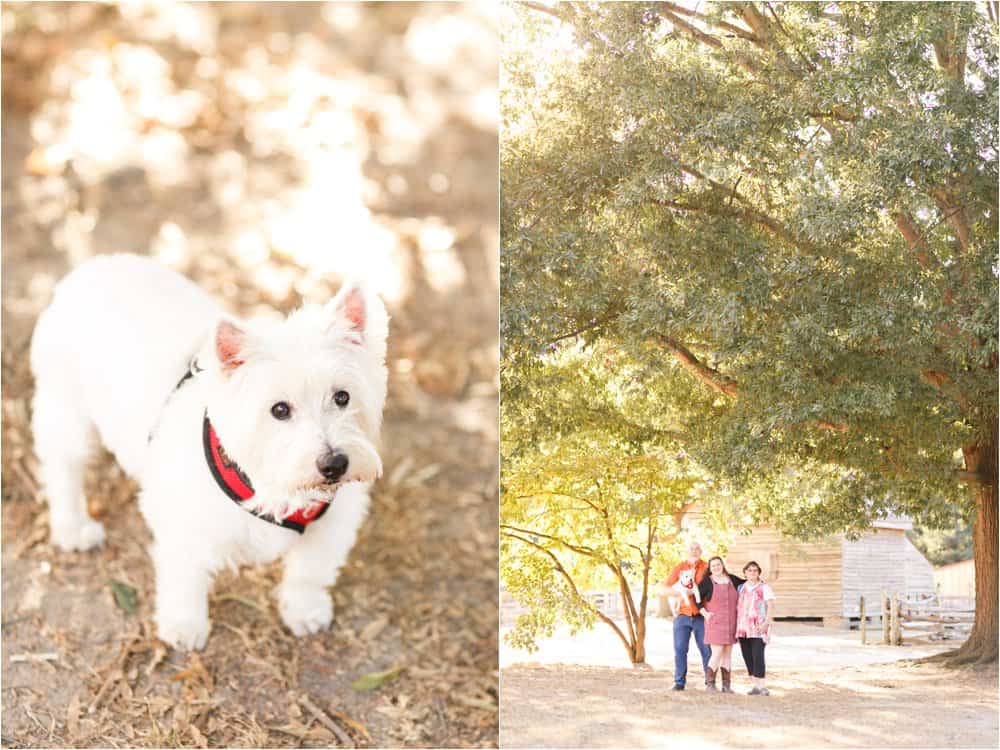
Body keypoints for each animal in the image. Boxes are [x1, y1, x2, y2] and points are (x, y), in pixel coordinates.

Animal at [31, 254, 390, 652]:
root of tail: (95, 265)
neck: (272, 483)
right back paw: (73, 528)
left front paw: (304, 612)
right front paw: (184, 626)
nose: (335, 465)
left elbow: (309, 571)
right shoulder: (182, 523)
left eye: (342, 397)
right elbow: (184, 579)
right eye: (280, 409)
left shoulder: (333, 521)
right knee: (64, 468)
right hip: (66, 410)